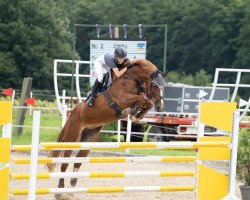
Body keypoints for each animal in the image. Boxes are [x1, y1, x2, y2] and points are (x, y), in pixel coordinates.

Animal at [46, 58, 165, 198]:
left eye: (164, 87)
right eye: (155, 86)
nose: (160, 107)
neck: (132, 79)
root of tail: (72, 114)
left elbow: (147, 101)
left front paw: (136, 114)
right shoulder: (122, 99)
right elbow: (143, 99)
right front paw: (132, 112)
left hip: (88, 140)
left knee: (77, 162)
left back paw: (72, 187)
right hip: (72, 137)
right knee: (64, 163)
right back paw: (60, 190)